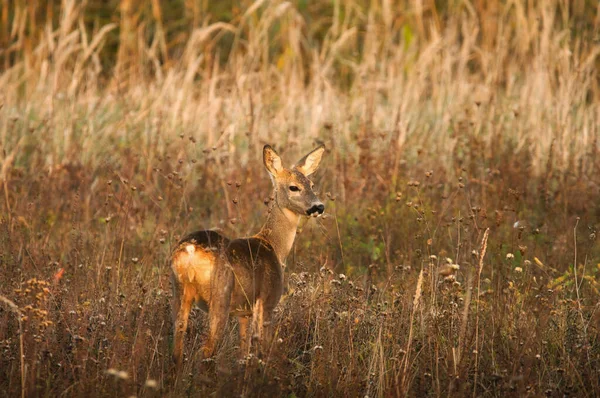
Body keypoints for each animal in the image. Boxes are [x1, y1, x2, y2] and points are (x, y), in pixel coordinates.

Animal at [171, 143, 326, 366]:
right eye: (293, 187)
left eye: (312, 184)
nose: (319, 206)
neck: (274, 246)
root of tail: (191, 250)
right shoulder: (267, 301)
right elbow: (263, 350)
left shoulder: (244, 312)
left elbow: (243, 353)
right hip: (221, 294)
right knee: (205, 349)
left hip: (178, 289)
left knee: (177, 343)